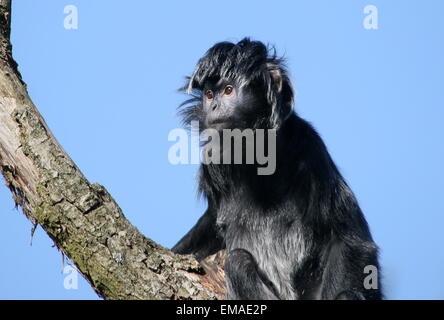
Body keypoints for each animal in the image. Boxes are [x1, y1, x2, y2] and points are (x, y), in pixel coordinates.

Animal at [171, 38, 382, 300]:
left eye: (228, 90)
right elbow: (211, 224)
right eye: (209, 95)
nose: (214, 106)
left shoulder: (310, 148)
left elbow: (350, 240)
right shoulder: (213, 161)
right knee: (238, 261)